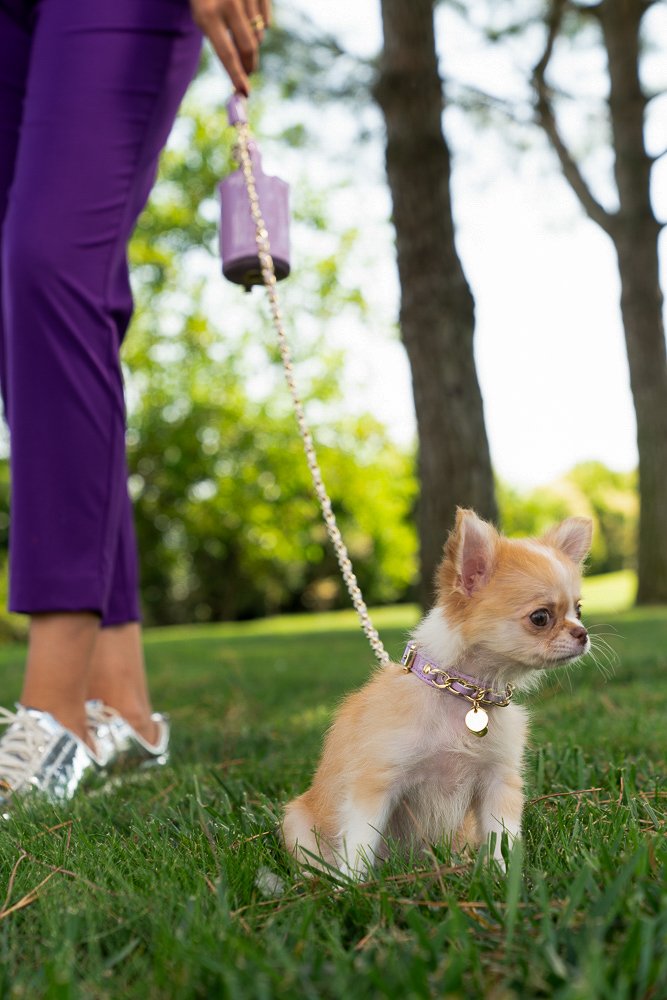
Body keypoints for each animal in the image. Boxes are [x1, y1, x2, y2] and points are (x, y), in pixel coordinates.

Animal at [284, 508, 592, 876]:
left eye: (579, 610)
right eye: (541, 617)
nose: (583, 633)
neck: (463, 695)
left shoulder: (498, 782)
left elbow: (502, 838)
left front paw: (503, 877)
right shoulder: (375, 785)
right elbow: (360, 844)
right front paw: (352, 885)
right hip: (295, 823)